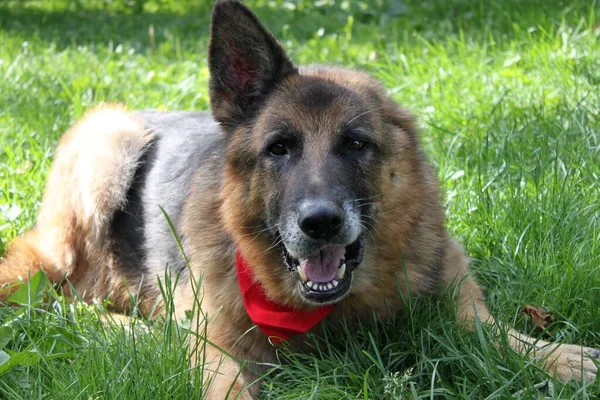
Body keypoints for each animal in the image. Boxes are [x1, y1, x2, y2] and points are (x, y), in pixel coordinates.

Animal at [1, 0, 600, 396]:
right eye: (279, 148)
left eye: (356, 143)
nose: (320, 223)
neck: (334, 313)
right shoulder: (220, 352)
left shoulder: (457, 298)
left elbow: (497, 332)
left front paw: (558, 357)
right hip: (108, 145)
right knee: (63, 297)